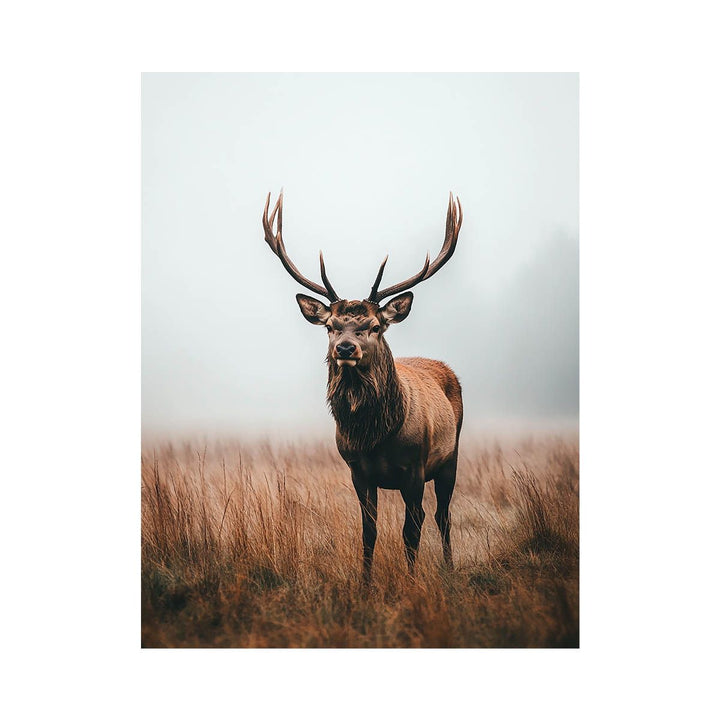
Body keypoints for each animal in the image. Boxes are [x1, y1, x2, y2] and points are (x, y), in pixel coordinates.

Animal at [261, 191, 463, 583]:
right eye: (331, 326)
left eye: (374, 326)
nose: (345, 348)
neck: (375, 437)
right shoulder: (357, 471)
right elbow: (368, 531)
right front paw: (365, 582)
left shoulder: (414, 470)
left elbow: (411, 529)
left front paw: (411, 582)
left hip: (451, 457)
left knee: (443, 516)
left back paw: (450, 567)